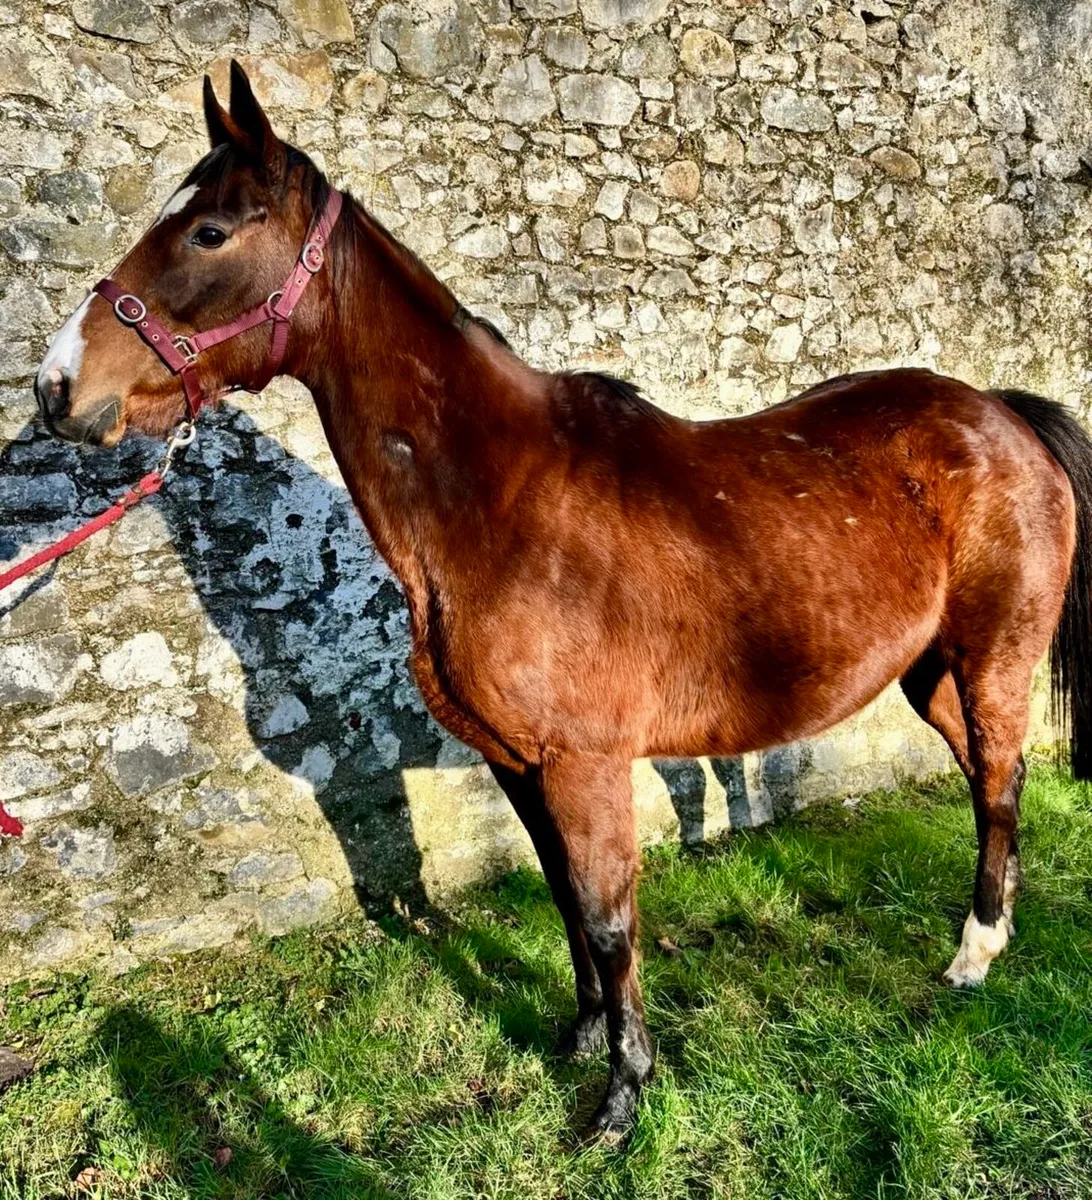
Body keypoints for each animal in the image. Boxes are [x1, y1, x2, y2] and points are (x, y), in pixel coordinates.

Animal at [30, 61, 1092, 1136]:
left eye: (209, 231)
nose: (56, 387)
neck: (502, 504)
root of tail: (1002, 413)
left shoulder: (585, 763)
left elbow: (609, 918)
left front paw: (623, 1097)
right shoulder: (515, 761)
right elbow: (563, 901)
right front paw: (580, 1039)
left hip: (991, 657)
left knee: (997, 780)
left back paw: (972, 954)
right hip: (930, 673)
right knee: (989, 779)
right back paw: (999, 927)